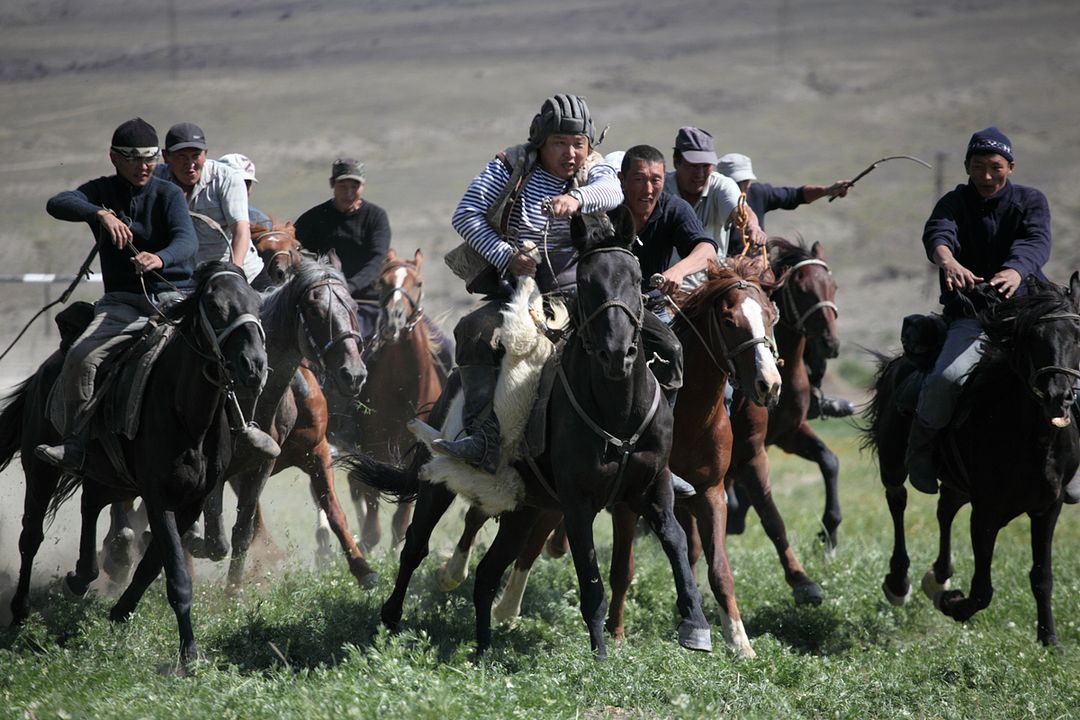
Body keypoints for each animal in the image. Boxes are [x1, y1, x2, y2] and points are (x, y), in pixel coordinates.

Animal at [1, 262, 266, 669]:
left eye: (257, 302)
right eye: (215, 305)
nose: (253, 365)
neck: (186, 415)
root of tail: (48, 366)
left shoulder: (189, 504)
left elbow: (151, 566)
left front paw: (120, 613)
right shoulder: (159, 499)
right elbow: (176, 574)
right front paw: (188, 653)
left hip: (113, 479)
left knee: (91, 504)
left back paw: (82, 576)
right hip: (39, 468)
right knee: (31, 537)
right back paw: (19, 613)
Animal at [347, 207, 708, 660]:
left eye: (635, 276)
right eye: (587, 283)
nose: (617, 354)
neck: (619, 414)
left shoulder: (653, 489)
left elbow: (676, 541)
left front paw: (695, 624)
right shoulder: (577, 504)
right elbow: (590, 577)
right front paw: (600, 653)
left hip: (523, 508)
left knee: (487, 573)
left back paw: (483, 648)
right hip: (440, 482)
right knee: (415, 545)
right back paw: (391, 619)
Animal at [864, 273, 1080, 643]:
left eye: (1077, 335)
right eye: (1034, 337)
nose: (1058, 396)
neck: (1032, 440)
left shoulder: (1047, 509)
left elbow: (1042, 577)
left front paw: (1049, 638)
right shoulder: (986, 514)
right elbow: (982, 591)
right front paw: (951, 603)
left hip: (958, 484)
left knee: (944, 508)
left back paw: (938, 576)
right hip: (893, 464)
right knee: (898, 500)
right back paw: (900, 582)